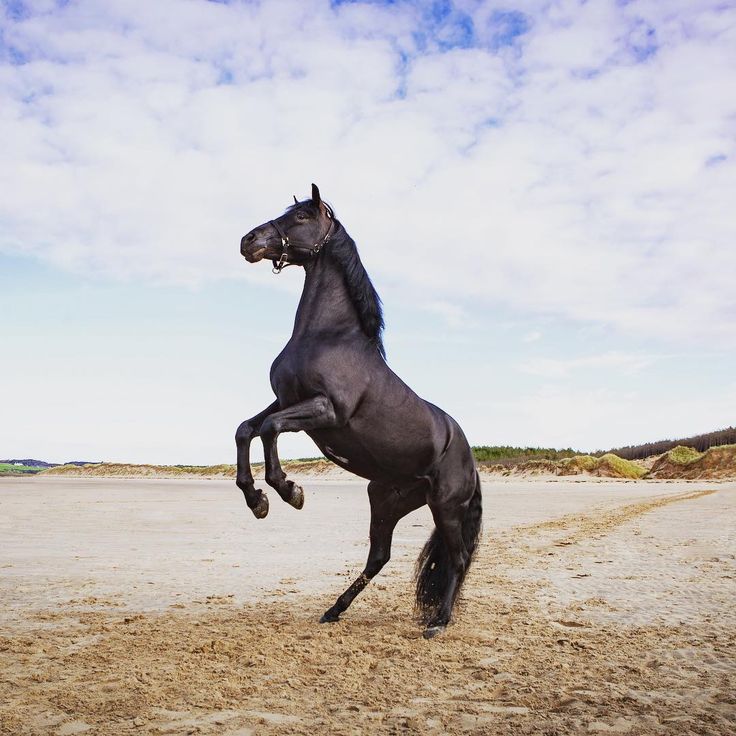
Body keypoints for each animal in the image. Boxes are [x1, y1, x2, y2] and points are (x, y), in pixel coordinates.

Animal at [237, 185, 484, 640]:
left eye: (301, 217)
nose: (249, 241)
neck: (328, 336)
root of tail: (471, 461)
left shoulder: (325, 411)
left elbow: (269, 429)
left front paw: (288, 491)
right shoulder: (285, 399)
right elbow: (246, 428)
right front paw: (256, 499)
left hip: (445, 508)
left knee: (457, 559)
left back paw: (438, 623)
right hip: (386, 500)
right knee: (379, 557)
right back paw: (334, 610)